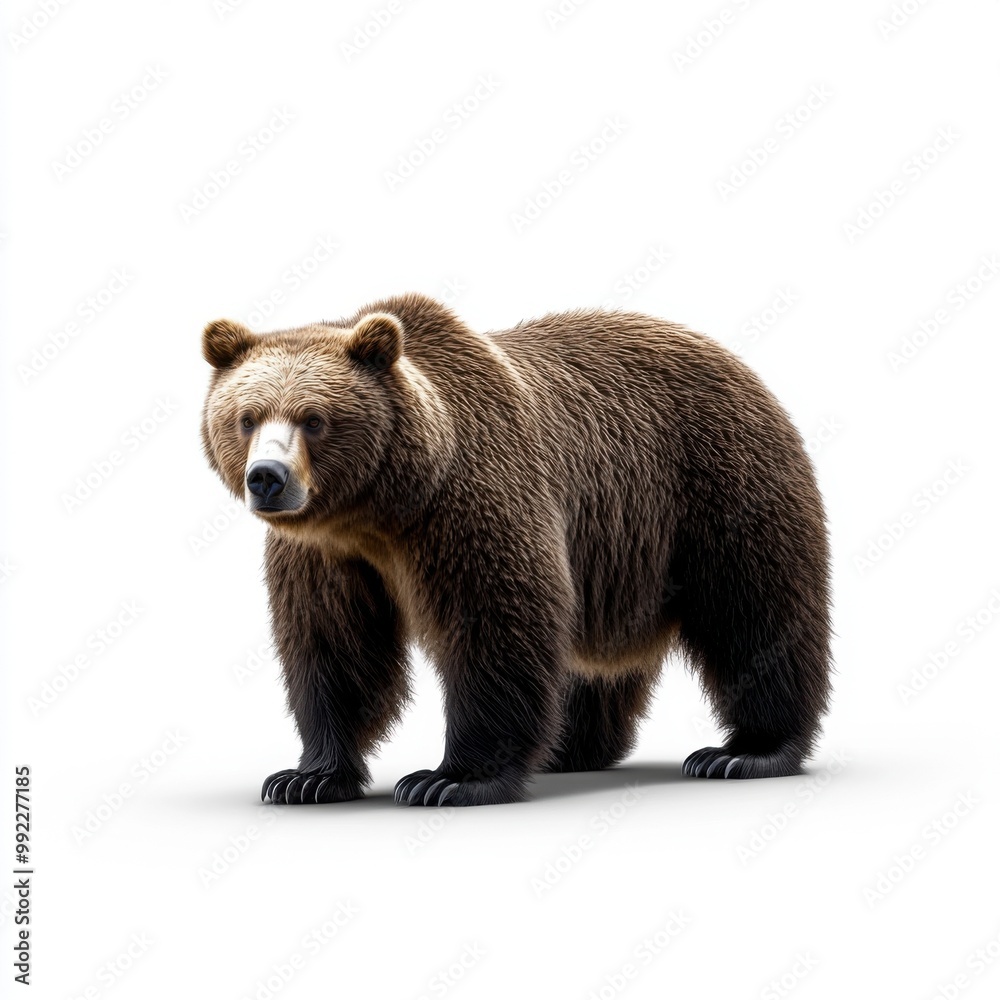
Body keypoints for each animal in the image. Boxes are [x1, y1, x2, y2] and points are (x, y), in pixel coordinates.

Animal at [200, 293, 831, 806]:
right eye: (246, 417)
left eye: (314, 419)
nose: (268, 478)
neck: (381, 510)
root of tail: (733, 358)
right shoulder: (327, 555)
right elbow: (334, 645)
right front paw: (305, 777)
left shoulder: (472, 500)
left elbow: (495, 621)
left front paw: (448, 779)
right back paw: (569, 747)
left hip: (719, 483)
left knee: (754, 610)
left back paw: (744, 751)